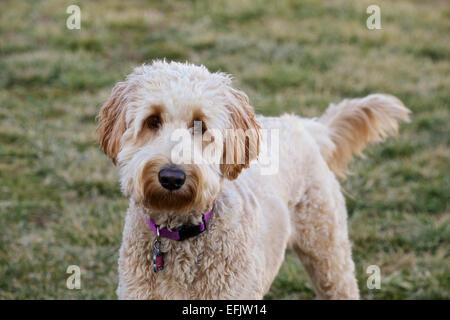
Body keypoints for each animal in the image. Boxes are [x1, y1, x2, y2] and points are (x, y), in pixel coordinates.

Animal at [96, 60, 410, 300]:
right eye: (152, 121)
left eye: (200, 125)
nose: (172, 177)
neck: (180, 231)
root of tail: (302, 125)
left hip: (329, 252)